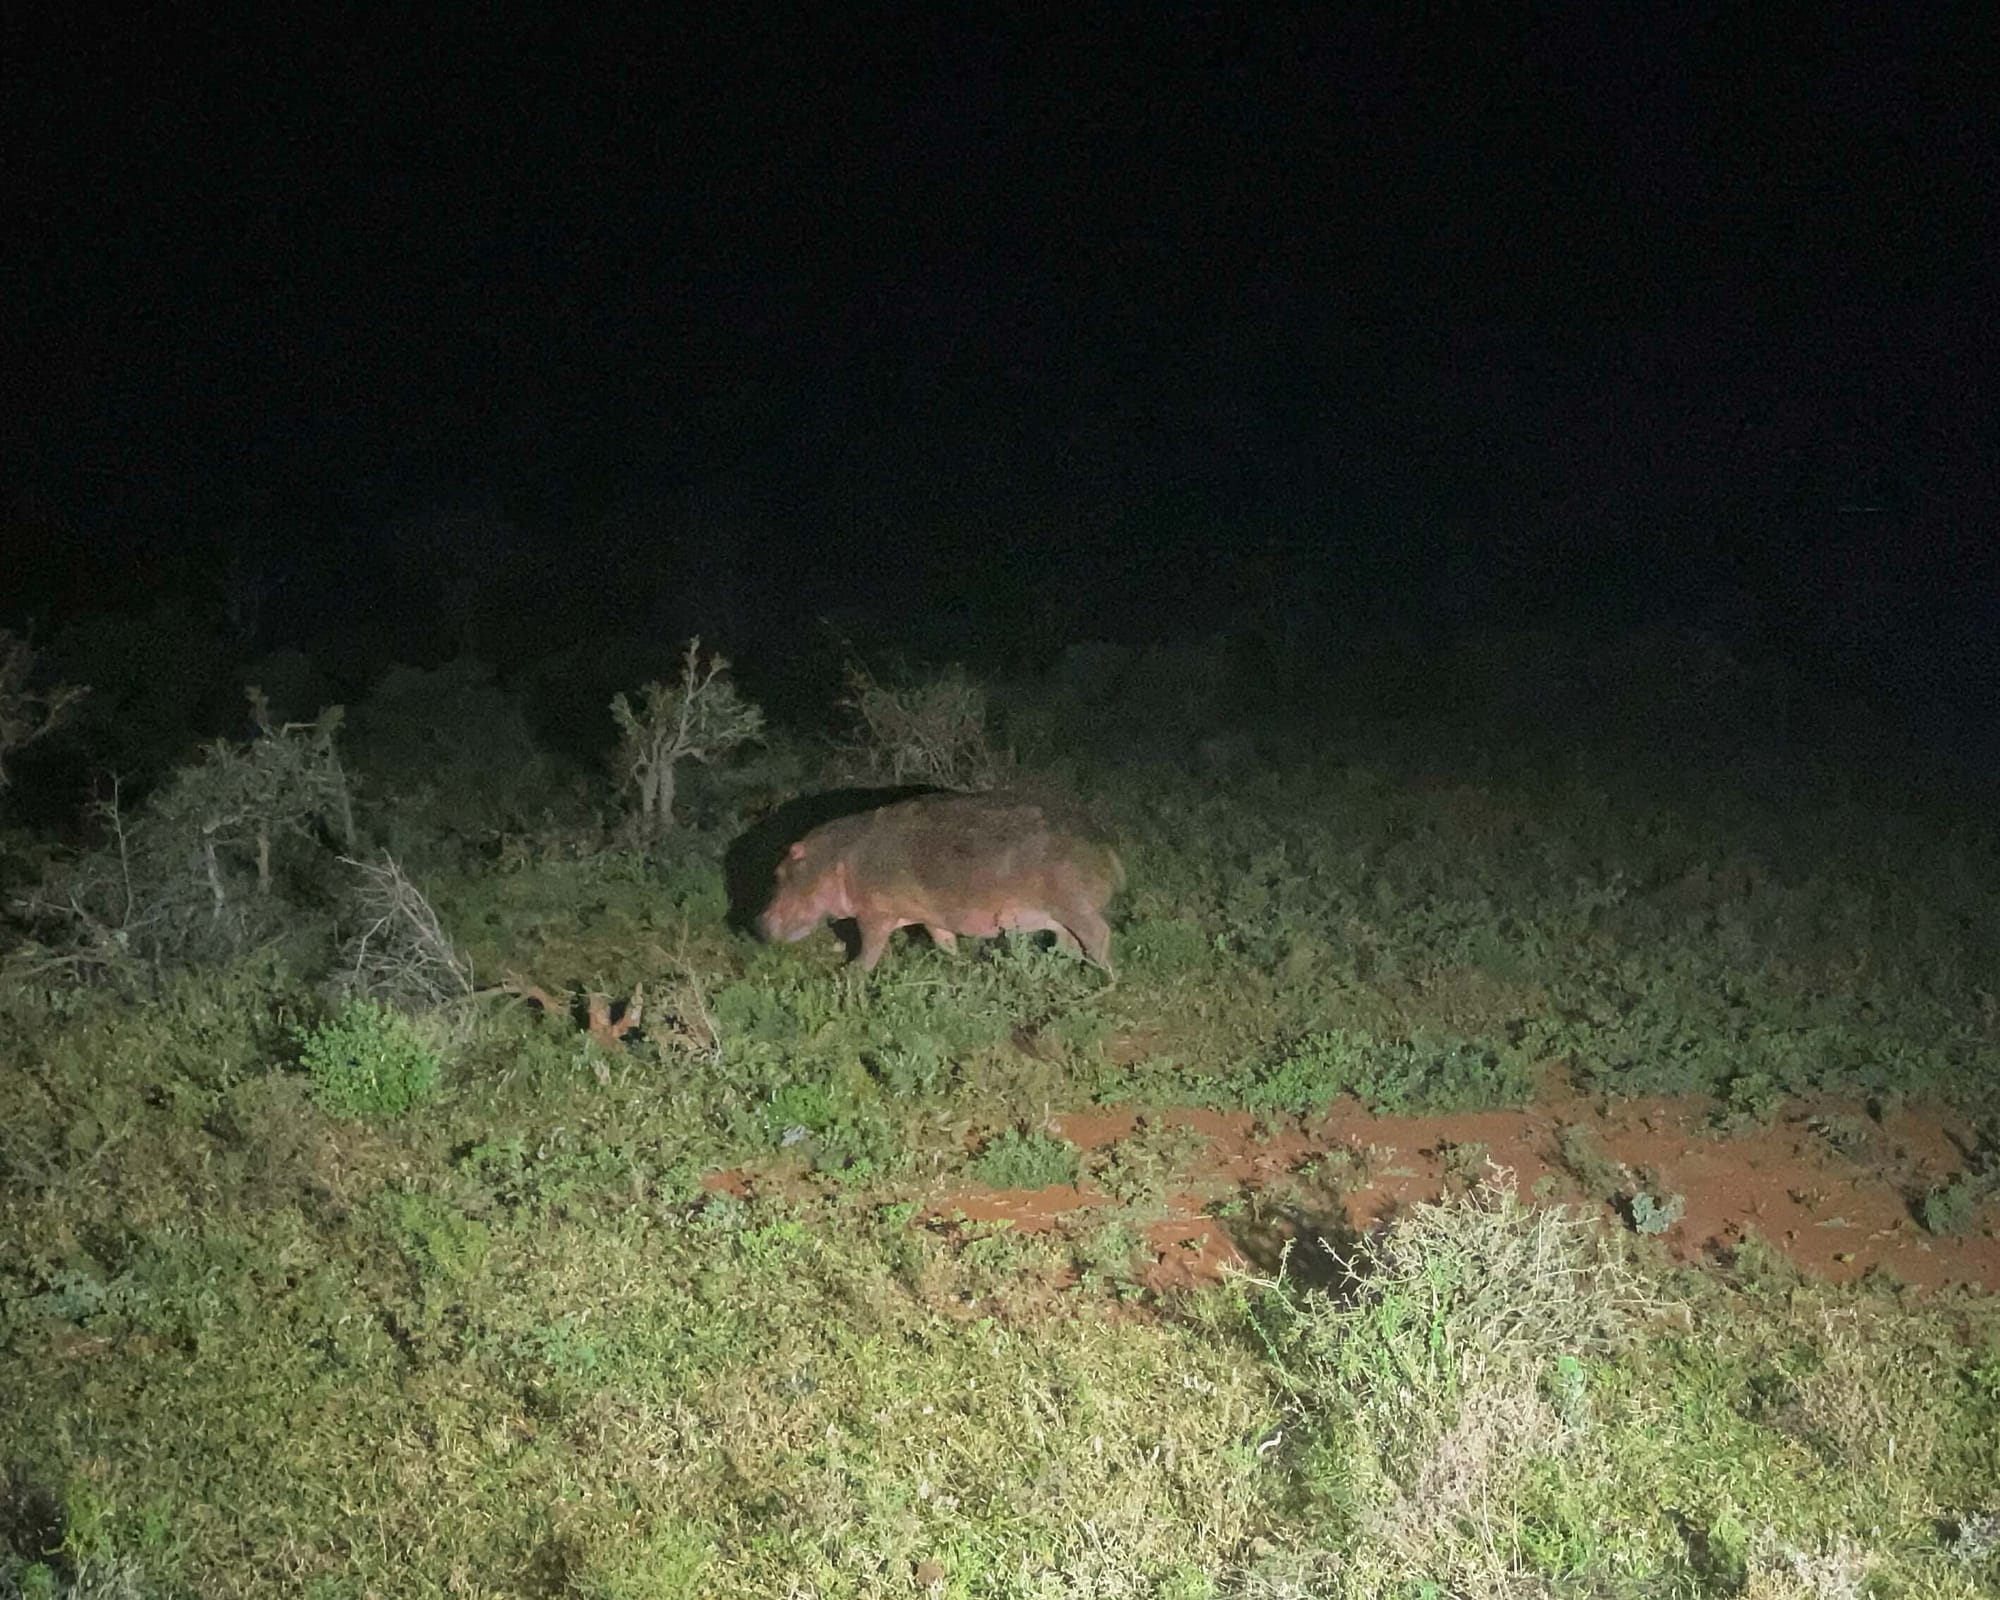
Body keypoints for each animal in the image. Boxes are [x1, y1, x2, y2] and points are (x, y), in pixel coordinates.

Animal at [752, 792, 1128, 968]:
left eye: (778, 873)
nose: (757, 925)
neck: (835, 858)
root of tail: (1107, 847)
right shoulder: (931, 916)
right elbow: (943, 940)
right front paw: (959, 966)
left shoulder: (875, 913)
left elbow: (869, 949)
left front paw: (850, 975)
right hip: (1060, 914)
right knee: (1070, 942)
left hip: (1073, 904)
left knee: (1099, 936)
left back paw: (1105, 980)